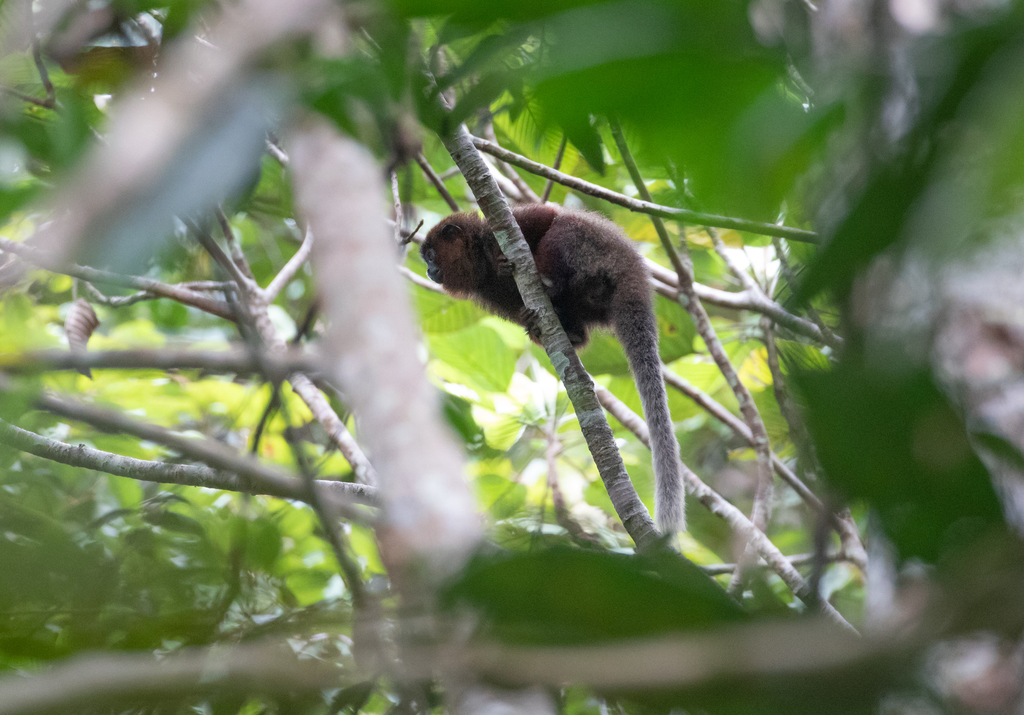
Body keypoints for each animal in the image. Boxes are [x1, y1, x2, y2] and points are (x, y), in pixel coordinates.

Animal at [420, 204, 685, 532]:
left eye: (431, 256)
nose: (428, 270)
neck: (481, 260)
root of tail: (633, 271)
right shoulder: (491, 293)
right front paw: (532, 321)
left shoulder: (502, 228)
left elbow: (547, 215)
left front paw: (511, 261)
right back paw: (563, 329)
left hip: (594, 251)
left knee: (565, 228)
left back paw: (549, 281)